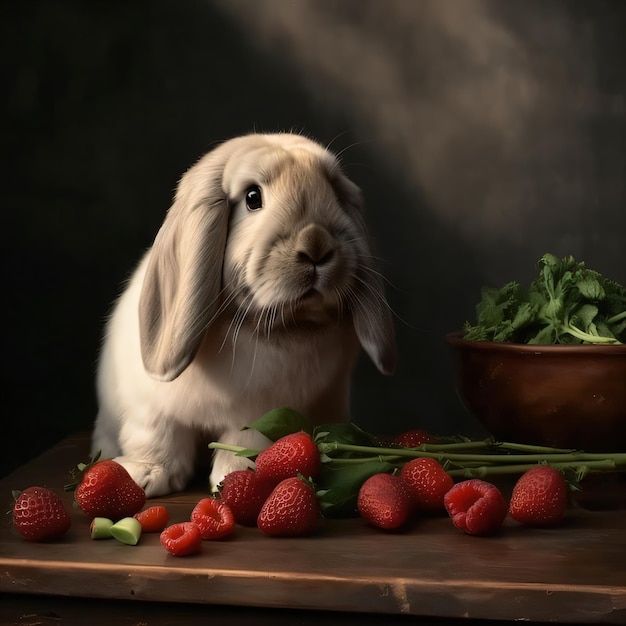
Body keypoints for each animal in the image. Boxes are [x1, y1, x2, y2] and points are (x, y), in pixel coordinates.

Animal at [92, 133, 394, 498]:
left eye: (333, 191)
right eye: (252, 197)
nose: (316, 244)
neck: (268, 326)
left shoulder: (259, 413)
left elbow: (243, 443)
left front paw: (232, 477)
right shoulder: (150, 408)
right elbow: (158, 438)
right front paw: (145, 476)